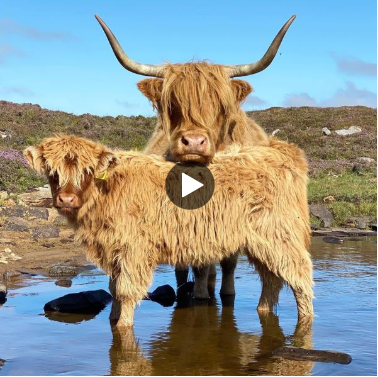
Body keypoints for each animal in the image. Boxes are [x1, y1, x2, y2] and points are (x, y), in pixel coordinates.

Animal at [94, 13, 296, 300]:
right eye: (172, 104)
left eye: (220, 106)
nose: (194, 142)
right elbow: (196, 263)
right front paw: (199, 297)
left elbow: (228, 262)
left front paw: (226, 294)